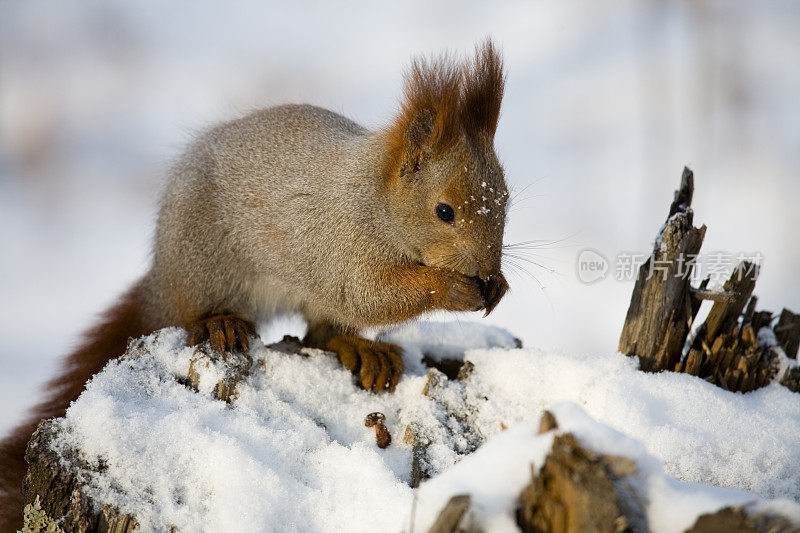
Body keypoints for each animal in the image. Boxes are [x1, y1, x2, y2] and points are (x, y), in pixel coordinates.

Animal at [0, 39, 510, 524]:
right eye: (444, 211)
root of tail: (160, 281)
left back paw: (361, 348)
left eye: (505, 199)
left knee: (321, 332)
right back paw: (221, 323)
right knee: (194, 314)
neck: (373, 201)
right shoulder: (340, 246)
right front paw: (453, 287)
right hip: (203, 270)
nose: (485, 270)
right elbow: (369, 294)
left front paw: (500, 286)